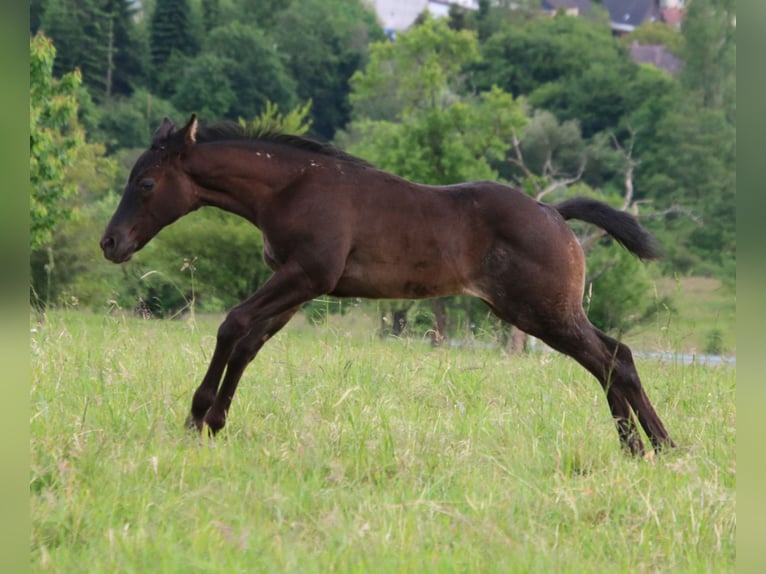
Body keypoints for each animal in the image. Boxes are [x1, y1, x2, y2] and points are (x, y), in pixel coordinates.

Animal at [99, 116, 676, 460]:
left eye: (146, 183)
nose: (110, 242)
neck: (291, 188)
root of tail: (554, 212)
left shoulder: (305, 275)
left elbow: (233, 323)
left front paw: (197, 415)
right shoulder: (297, 287)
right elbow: (249, 342)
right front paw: (216, 420)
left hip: (542, 312)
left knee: (612, 359)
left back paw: (658, 445)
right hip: (546, 312)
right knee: (613, 357)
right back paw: (643, 447)